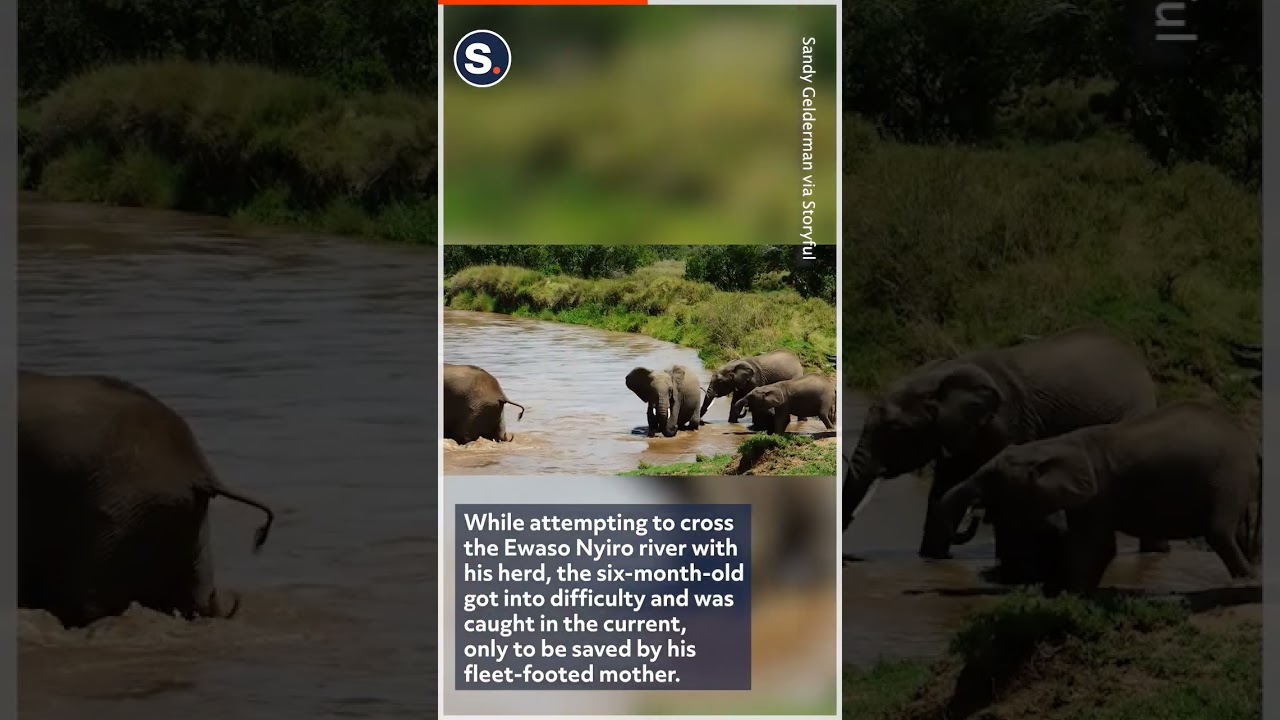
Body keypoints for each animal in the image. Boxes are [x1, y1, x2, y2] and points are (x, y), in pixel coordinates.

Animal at [841, 326, 1168, 582]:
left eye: (893, 428)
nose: (851, 560)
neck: (938, 378)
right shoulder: (957, 431)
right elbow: (943, 490)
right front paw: (933, 562)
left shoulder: (1009, 421)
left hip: (1133, 414)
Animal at [934, 401, 1263, 595]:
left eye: (993, 478)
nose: (976, 515)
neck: (1054, 445)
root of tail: (1247, 442)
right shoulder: (1086, 495)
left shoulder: (1099, 493)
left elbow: (1093, 546)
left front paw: (1071, 594)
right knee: (1237, 534)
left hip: (1227, 478)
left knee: (1219, 532)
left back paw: (1247, 581)